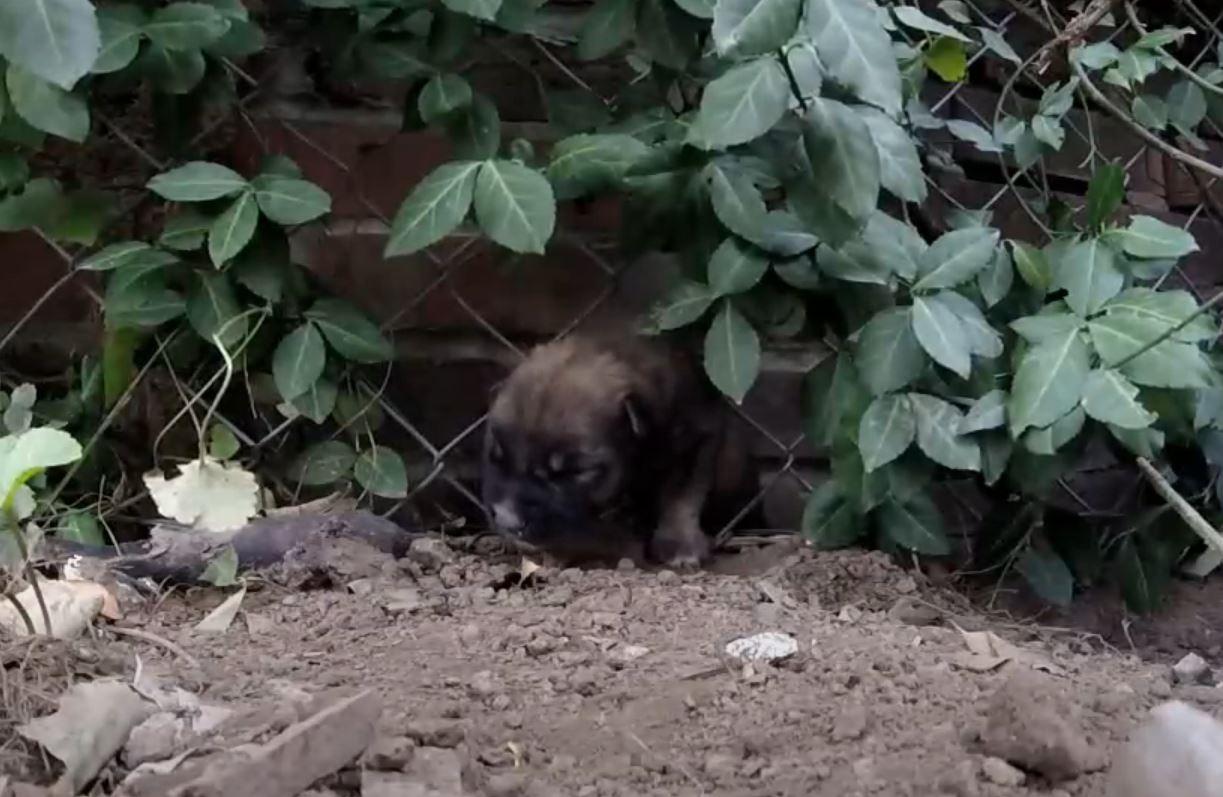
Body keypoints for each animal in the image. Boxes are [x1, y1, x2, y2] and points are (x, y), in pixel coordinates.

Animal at [479, 332, 753, 569]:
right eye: (496, 459)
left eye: (574, 471)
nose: (506, 520)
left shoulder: (694, 440)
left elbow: (681, 496)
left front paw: (680, 545)